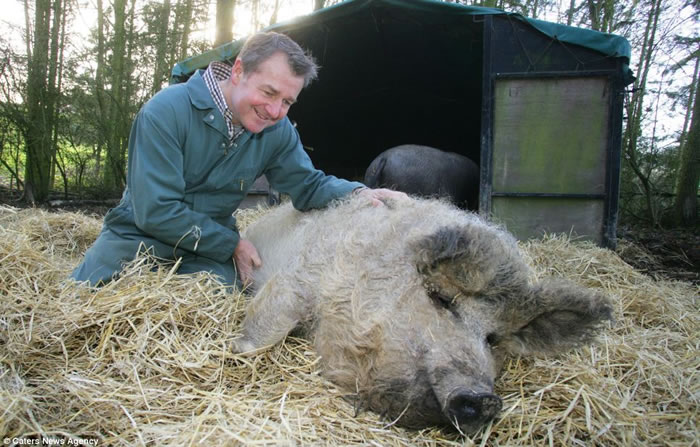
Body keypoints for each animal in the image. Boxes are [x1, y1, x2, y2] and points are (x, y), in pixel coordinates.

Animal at [234, 195, 612, 434]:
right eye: (441, 299)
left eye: (492, 339)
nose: (485, 399)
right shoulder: (299, 279)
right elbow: (269, 328)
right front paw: (239, 348)